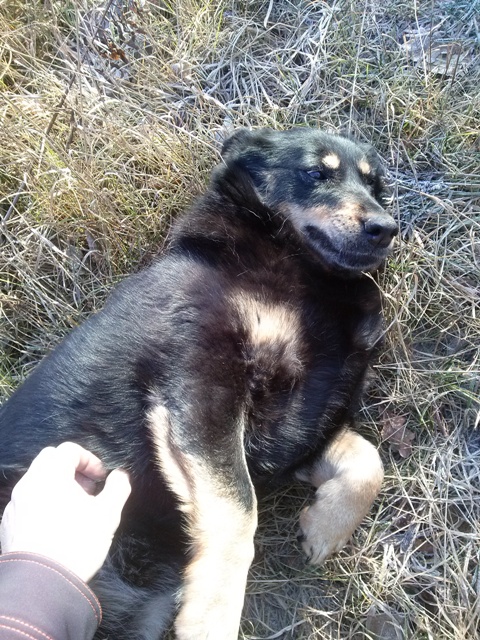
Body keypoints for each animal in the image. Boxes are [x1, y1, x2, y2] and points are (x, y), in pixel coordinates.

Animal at [0, 127, 398, 639]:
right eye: (315, 172)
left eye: (376, 186)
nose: (386, 227)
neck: (307, 275)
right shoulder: (202, 386)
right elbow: (237, 508)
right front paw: (212, 616)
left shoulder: (294, 430)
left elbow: (368, 461)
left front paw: (326, 526)